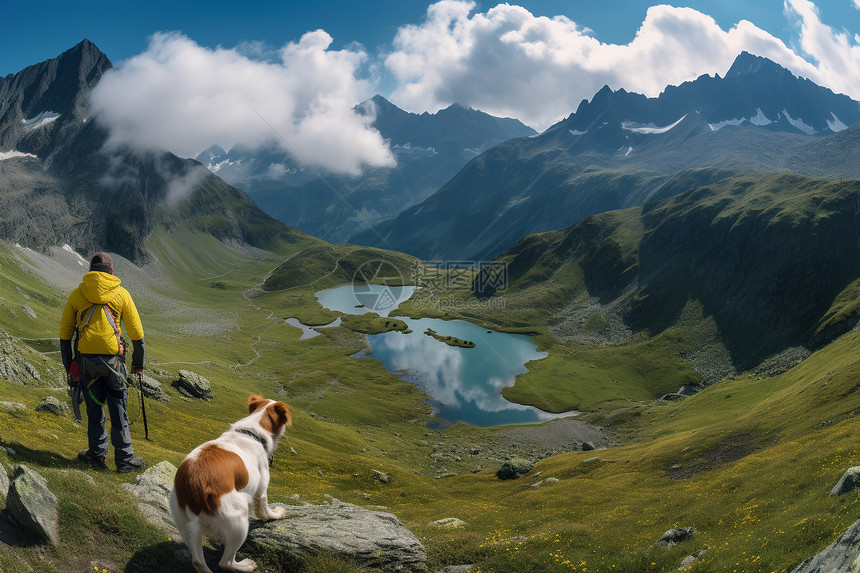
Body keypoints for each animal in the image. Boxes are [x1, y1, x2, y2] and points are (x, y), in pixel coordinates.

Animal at [170, 394, 294, 572]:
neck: (252, 431)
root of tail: (191, 485)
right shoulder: (261, 489)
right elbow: (264, 511)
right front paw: (276, 514)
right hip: (238, 519)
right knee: (226, 562)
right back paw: (246, 565)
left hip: (184, 524)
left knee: (198, 561)